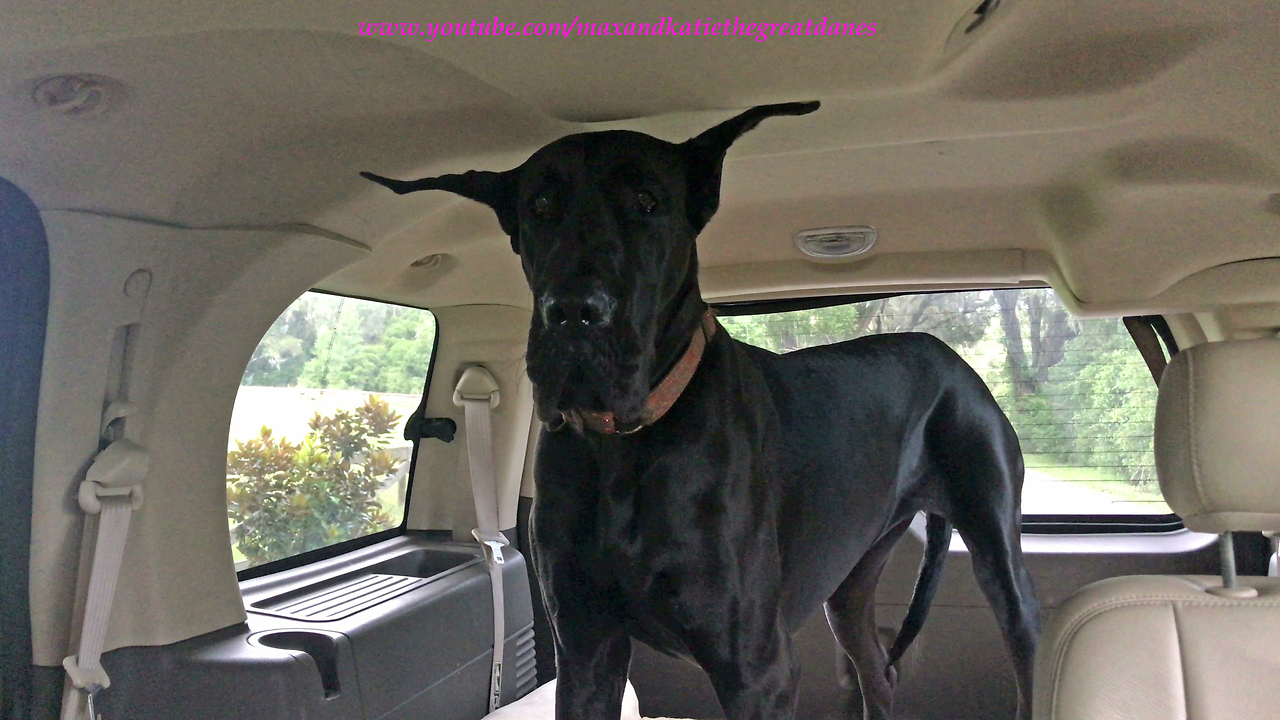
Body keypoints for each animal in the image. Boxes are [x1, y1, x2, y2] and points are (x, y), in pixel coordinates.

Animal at [363, 102, 1039, 717]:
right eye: (541, 207)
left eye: (646, 201)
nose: (573, 312)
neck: (621, 445)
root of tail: (946, 353)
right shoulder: (586, 655)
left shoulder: (758, 672)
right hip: (850, 582)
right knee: (878, 671)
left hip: (998, 554)